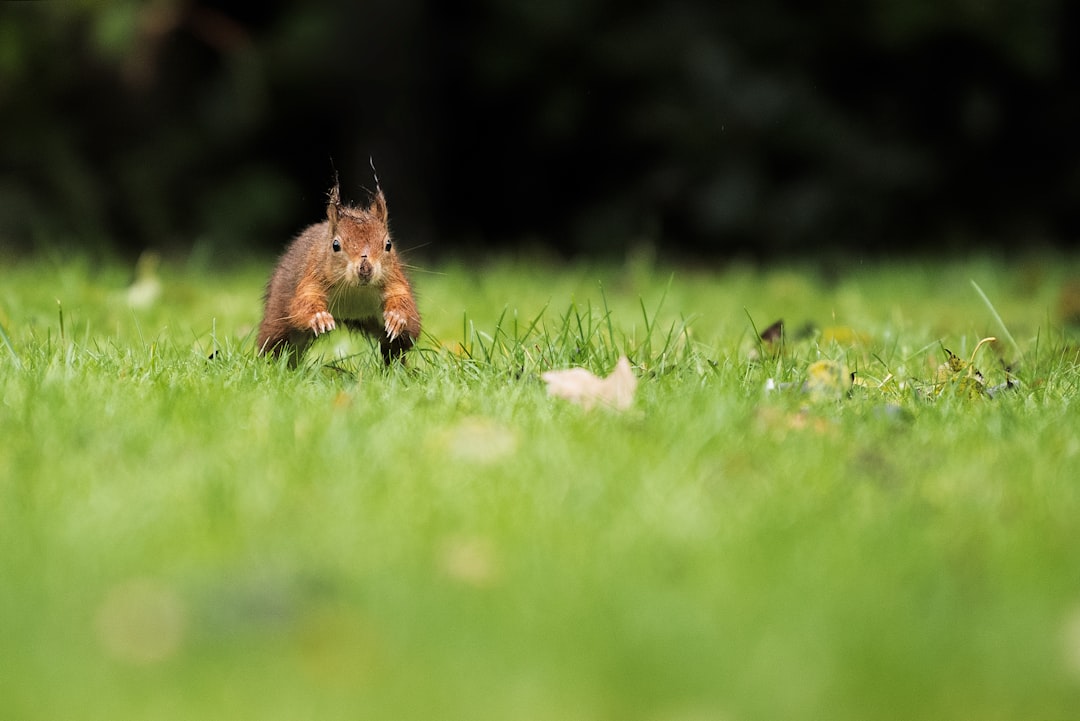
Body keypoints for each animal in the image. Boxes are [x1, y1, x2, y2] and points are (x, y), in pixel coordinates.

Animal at [254, 177, 419, 362]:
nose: (365, 269)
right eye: (335, 245)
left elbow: (402, 298)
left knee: (397, 346)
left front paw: (397, 317)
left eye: (388, 244)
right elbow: (303, 303)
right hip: (277, 321)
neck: (355, 291)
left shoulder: (394, 279)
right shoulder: (312, 277)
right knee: (275, 346)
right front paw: (319, 318)